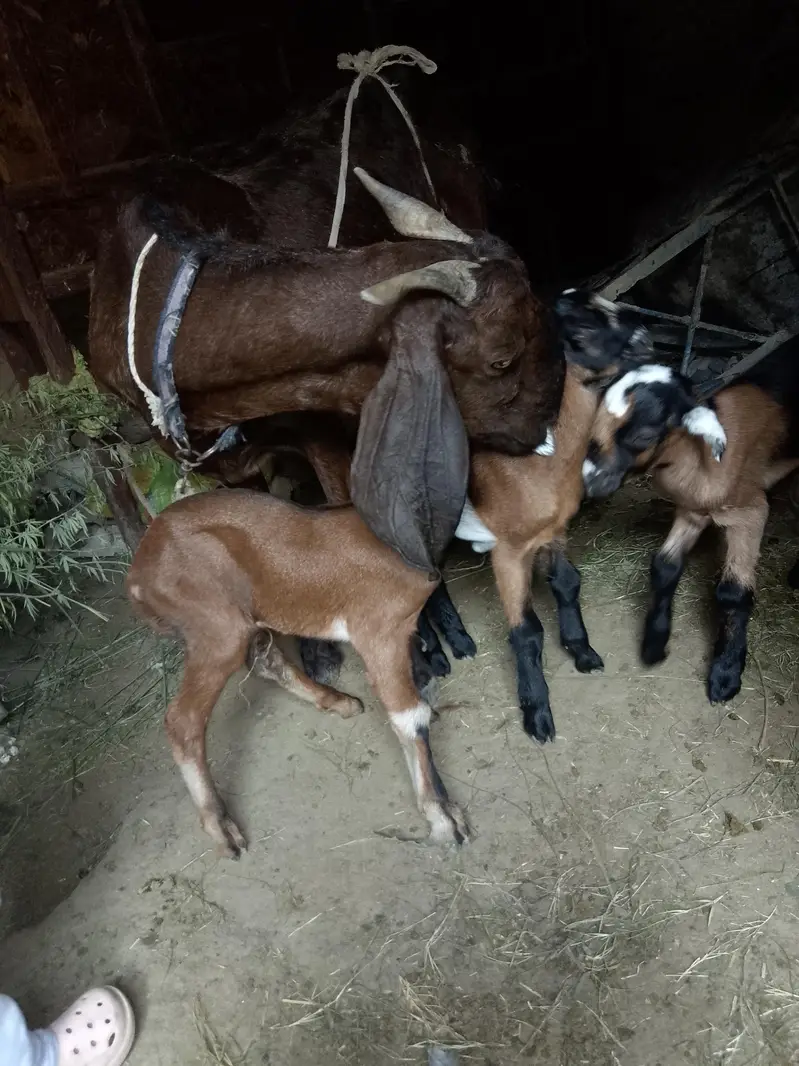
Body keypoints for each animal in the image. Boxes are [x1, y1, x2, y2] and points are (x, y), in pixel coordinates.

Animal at [127, 489, 469, 857]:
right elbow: (408, 715)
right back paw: (221, 827)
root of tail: (136, 577)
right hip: (217, 628)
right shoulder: (378, 630)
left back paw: (340, 701)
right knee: (183, 718)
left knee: (266, 659)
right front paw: (444, 819)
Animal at [580, 335, 799, 703]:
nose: (590, 482)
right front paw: (654, 644)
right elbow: (664, 566)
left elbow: (733, 592)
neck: (703, 460)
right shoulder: (691, 511)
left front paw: (725, 674)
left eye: (642, 435)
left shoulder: (749, 513)